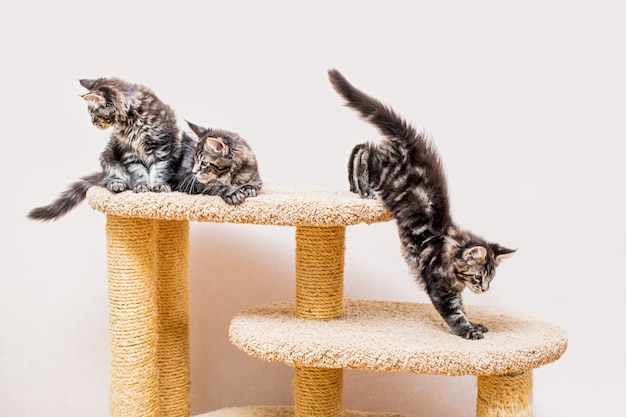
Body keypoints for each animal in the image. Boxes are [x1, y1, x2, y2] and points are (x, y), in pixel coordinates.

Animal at [27, 77, 183, 221]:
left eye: (93, 113)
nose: (93, 122)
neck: (131, 122)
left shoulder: (162, 145)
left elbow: (159, 168)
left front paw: (159, 186)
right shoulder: (128, 151)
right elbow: (138, 171)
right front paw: (142, 186)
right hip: (108, 157)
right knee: (108, 180)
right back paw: (117, 184)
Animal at [326, 70, 512, 340]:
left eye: (491, 277)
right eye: (478, 277)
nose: (485, 290)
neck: (447, 247)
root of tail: (410, 142)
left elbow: (463, 308)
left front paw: (475, 323)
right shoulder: (440, 287)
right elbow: (455, 313)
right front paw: (467, 331)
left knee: (362, 145)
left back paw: (354, 186)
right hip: (384, 171)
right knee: (364, 151)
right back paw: (363, 188)